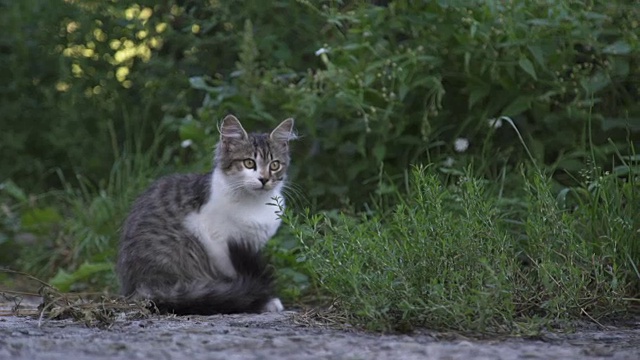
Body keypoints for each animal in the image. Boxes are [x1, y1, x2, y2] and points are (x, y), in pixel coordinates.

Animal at [115, 115, 296, 316]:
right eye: (249, 163)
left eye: (274, 165)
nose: (264, 179)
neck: (255, 204)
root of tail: (137, 288)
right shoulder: (218, 243)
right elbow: (238, 278)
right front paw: (262, 301)